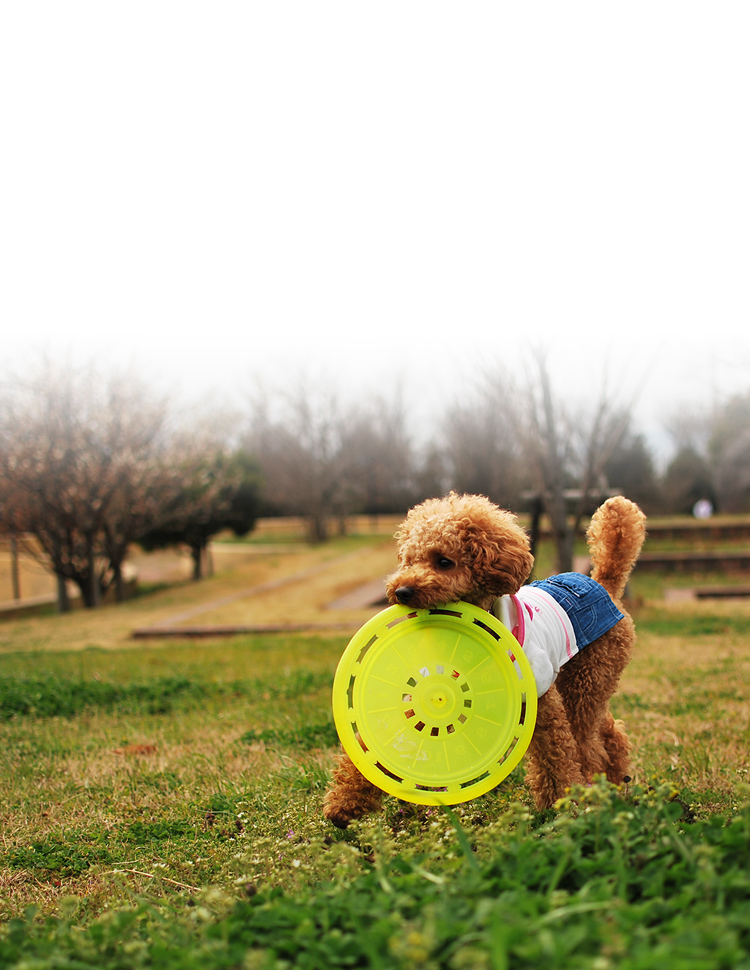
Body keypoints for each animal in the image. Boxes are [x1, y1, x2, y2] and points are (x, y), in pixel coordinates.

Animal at [324, 488, 648, 820]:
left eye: (444, 561)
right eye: (409, 561)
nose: (401, 591)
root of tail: (603, 582)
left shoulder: (540, 700)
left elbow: (555, 753)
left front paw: (561, 803)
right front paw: (343, 802)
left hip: (590, 675)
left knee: (586, 741)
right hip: (584, 680)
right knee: (608, 729)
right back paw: (618, 778)